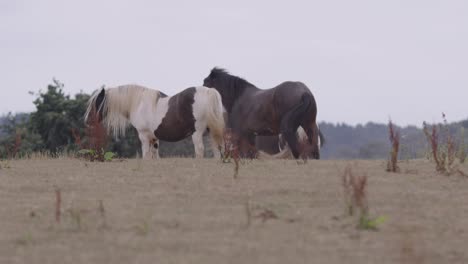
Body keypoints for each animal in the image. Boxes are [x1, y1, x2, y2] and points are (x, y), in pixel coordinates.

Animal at [85, 84, 226, 159]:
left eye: (97, 102)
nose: (88, 121)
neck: (138, 103)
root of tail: (208, 91)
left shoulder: (143, 136)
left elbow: (146, 154)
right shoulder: (154, 138)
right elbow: (155, 155)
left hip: (197, 133)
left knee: (200, 150)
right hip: (211, 131)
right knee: (217, 149)